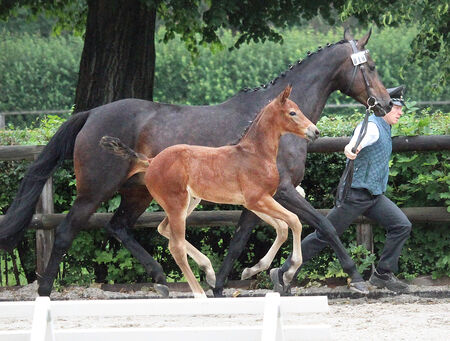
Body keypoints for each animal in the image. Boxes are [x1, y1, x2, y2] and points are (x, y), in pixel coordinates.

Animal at [102, 85, 320, 298]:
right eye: (292, 112)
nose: (315, 131)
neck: (255, 154)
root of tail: (152, 160)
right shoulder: (258, 199)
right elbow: (294, 221)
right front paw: (290, 271)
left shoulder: (253, 202)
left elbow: (281, 228)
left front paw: (253, 269)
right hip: (176, 204)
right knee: (176, 247)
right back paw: (199, 293)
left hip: (190, 202)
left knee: (164, 229)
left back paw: (209, 271)